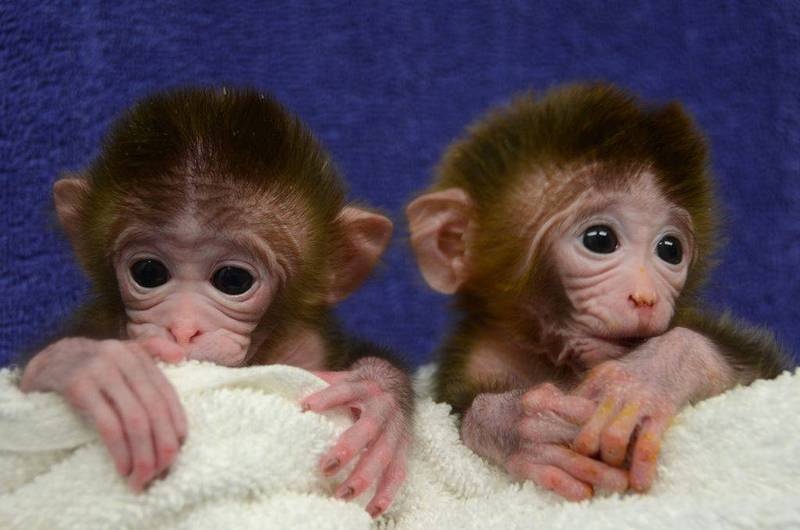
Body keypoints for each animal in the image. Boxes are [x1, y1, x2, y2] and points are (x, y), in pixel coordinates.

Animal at [406, 83, 792, 501]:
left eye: (670, 250)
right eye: (600, 239)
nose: (645, 297)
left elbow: (762, 371)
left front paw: (645, 378)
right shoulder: (480, 357)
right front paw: (521, 425)